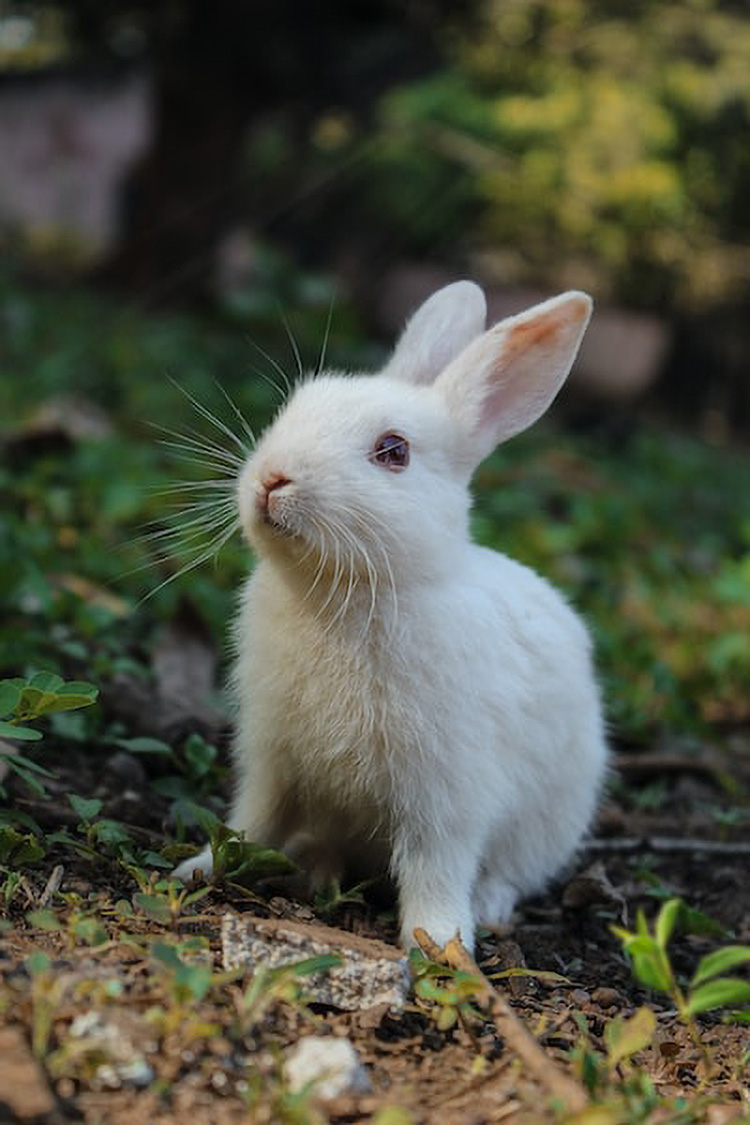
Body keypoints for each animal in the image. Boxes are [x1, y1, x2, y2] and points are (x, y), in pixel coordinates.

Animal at [176, 281, 611, 949]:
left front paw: (440, 945)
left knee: (510, 872)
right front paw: (199, 868)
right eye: (294, 407)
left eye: (393, 451)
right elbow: (252, 822)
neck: (347, 590)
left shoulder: (446, 794)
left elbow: (436, 868)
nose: (272, 479)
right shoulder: (272, 760)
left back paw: (488, 907)